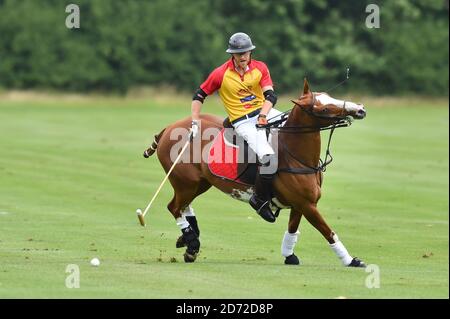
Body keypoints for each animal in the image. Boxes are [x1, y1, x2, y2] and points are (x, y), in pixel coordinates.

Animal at [142, 80, 368, 268]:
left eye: (330, 96)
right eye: (325, 108)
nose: (360, 109)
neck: (296, 155)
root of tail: (168, 129)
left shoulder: (300, 204)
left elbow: (292, 229)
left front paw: (289, 255)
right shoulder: (307, 204)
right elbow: (328, 232)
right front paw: (351, 260)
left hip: (199, 183)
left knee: (184, 207)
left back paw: (190, 242)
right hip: (185, 182)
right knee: (174, 207)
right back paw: (191, 242)